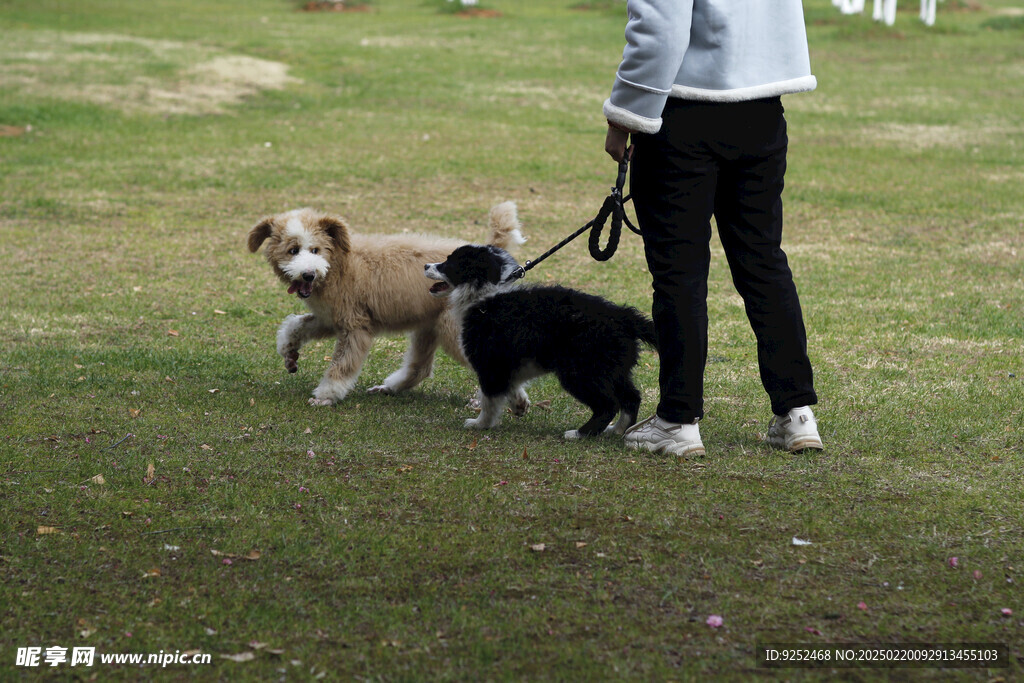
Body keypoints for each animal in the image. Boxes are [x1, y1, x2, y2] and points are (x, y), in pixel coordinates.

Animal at [244, 202, 524, 405]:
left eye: (315, 250)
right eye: (293, 251)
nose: (308, 274)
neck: (337, 265)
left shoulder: (355, 325)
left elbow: (342, 364)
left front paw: (326, 395)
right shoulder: (330, 318)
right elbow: (296, 325)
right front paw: (289, 352)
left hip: (453, 329)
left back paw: (513, 401)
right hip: (429, 326)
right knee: (419, 368)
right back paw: (388, 388)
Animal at [423, 244, 655, 438]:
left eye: (449, 262)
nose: (426, 265)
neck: (485, 294)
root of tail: (622, 316)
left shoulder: (490, 361)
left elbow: (489, 397)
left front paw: (481, 424)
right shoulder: (507, 361)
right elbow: (510, 385)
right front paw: (519, 404)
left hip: (581, 370)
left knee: (608, 405)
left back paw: (580, 434)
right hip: (612, 368)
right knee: (632, 397)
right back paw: (616, 430)